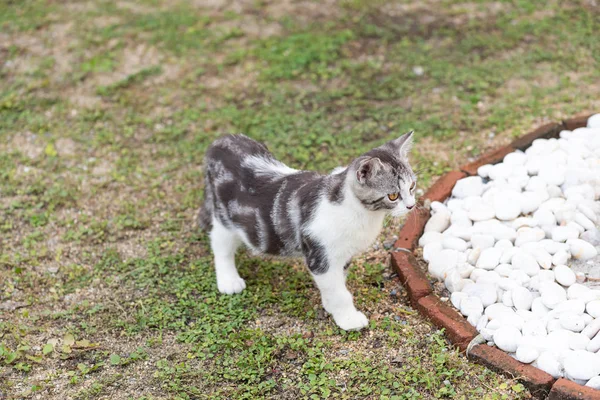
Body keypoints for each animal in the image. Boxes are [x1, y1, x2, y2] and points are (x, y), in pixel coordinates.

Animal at [199, 133, 414, 330]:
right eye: (393, 196)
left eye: (412, 187)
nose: (412, 206)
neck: (361, 213)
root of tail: (221, 140)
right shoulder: (319, 255)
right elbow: (339, 292)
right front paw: (348, 319)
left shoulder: (343, 254)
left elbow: (338, 282)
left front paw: (330, 305)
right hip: (226, 219)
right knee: (220, 243)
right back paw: (229, 280)